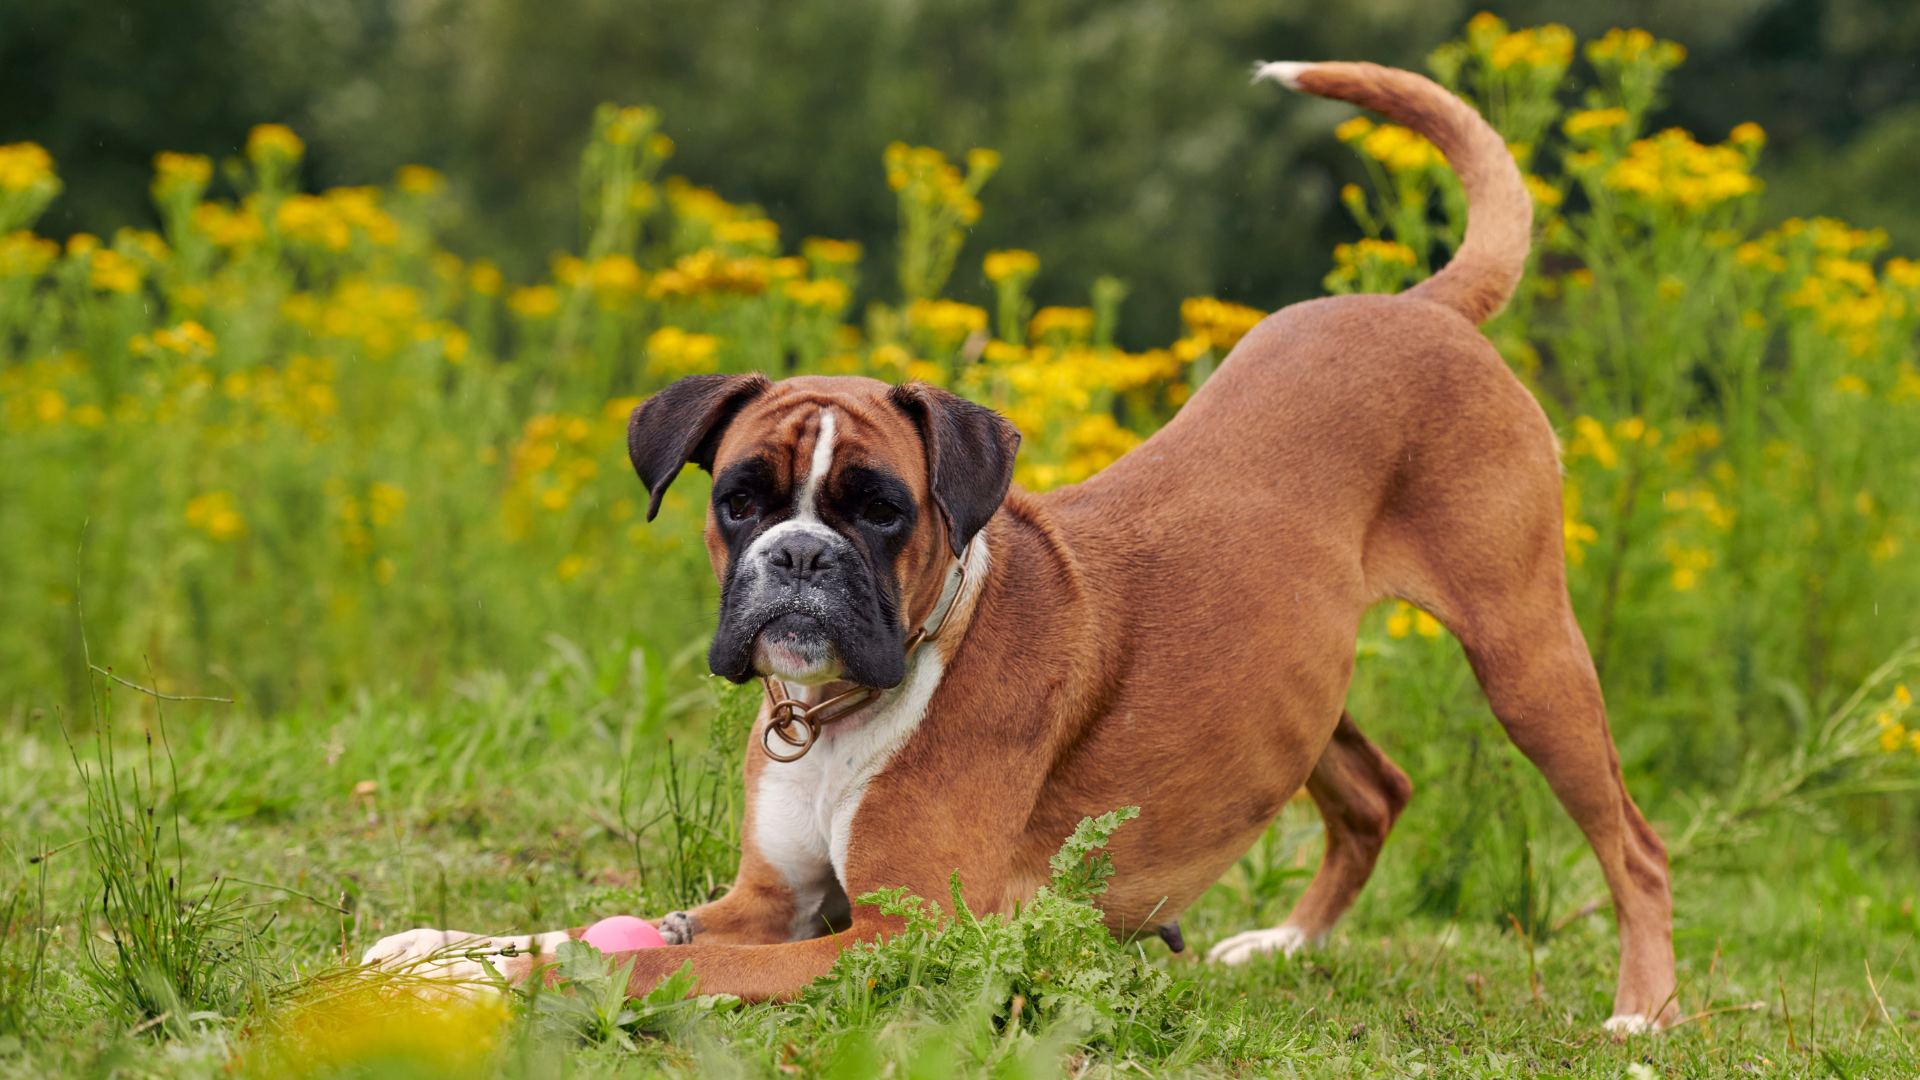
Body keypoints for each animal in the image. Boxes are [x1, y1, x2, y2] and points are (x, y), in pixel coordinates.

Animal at [362, 62, 1681, 1030]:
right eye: (741, 499)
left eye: (879, 509)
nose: (798, 559)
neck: (849, 708)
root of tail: (1422, 307)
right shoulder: (767, 901)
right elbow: (599, 923)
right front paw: (439, 948)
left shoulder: (894, 936)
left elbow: (641, 961)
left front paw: (496, 983)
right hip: (1297, 682)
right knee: (1376, 791)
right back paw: (1282, 946)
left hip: (1525, 653)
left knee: (1637, 844)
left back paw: (1641, 1013)